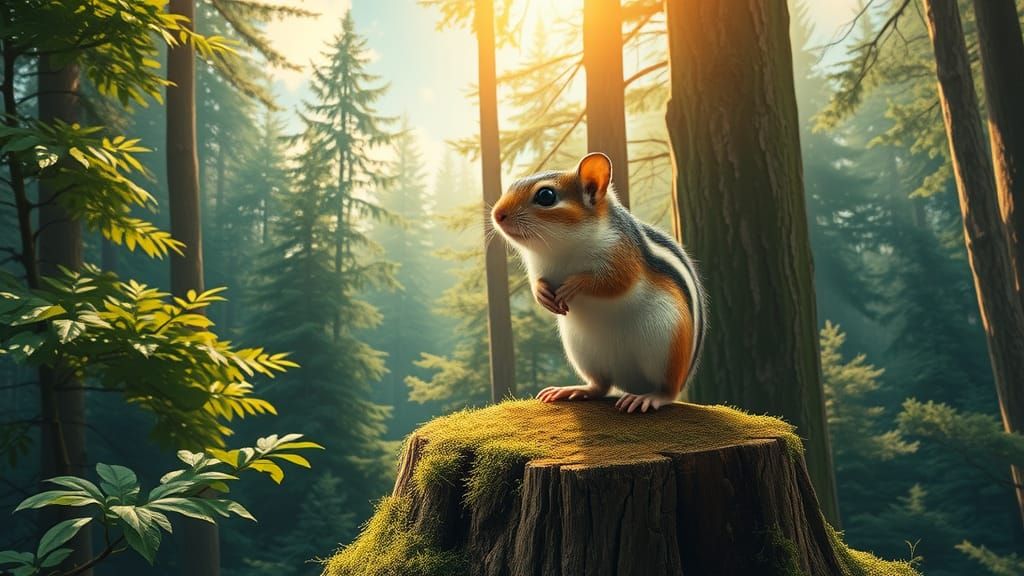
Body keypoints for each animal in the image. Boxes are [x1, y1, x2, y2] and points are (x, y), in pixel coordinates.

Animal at [491, 152, 706, 413]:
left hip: (668, 350)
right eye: (512, 185)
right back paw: (575, 390)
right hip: (584, 352)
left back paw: (650, 397)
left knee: (668, 390)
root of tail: (631, 384)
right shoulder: (538, 267)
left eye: (546, 196)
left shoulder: (622, 255)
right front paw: (542, 294)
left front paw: (573, 285)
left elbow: (614, 282)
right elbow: (537, 282)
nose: (497, 214)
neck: (561, 248)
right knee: (600, 386)